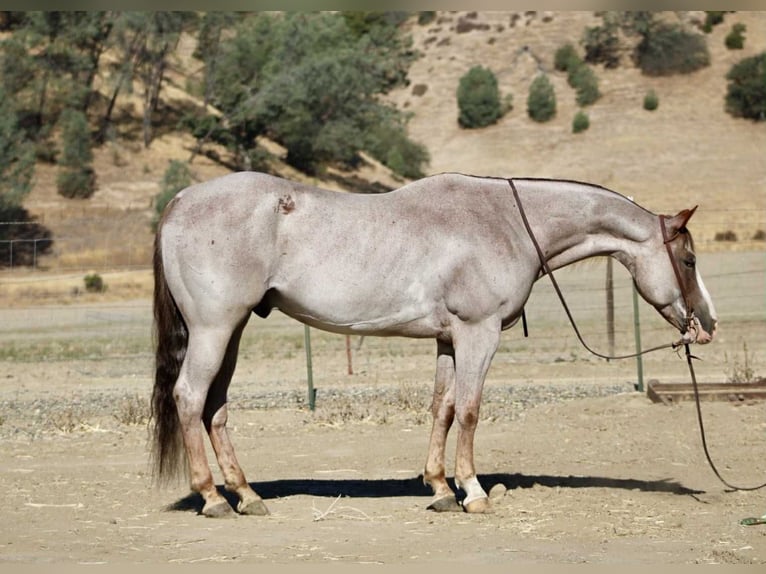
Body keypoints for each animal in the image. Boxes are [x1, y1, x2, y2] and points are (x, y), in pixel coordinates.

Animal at [151, 171, 717, 517]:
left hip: (232, 331)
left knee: (215, 408)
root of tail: (180, 201)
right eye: (689, 260)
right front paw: (474, 492)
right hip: (214, 330)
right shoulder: (478, 332)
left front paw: (441, 488)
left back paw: (247, 495)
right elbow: (469, 410)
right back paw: (214, 499)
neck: (505, 221)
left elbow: (441, 409)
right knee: (190, 399)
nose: (707, 325)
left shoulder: (448, 339)